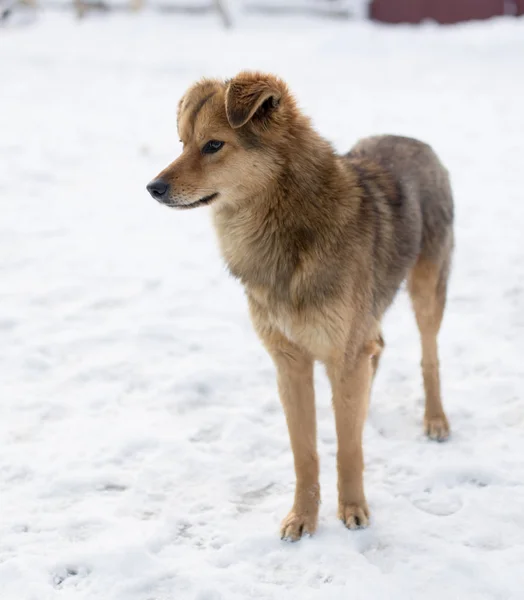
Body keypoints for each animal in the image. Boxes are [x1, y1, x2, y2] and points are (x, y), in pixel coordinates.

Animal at [145, 72, 452, 540]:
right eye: (181, 143)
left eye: (213, 145)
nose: (152, 188)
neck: (284, 226)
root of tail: (414, 141)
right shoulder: (290, 360)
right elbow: (304, 452)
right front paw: (303, 518)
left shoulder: (342, 354)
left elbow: (347, 449)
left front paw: (353, 509)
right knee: (379, 348)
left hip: (427, 292)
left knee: (429, 357)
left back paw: (435, 420)